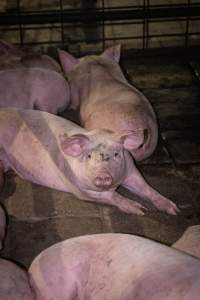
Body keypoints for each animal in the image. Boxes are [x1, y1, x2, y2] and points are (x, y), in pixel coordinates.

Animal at [0, 106, 177, 214]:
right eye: (89, 156)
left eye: (116, 154)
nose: (103, 174)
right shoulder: (79, 189)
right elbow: (112, 196)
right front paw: (139, 210)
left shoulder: (132, 171)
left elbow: (147, 188)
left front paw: (174, 210)